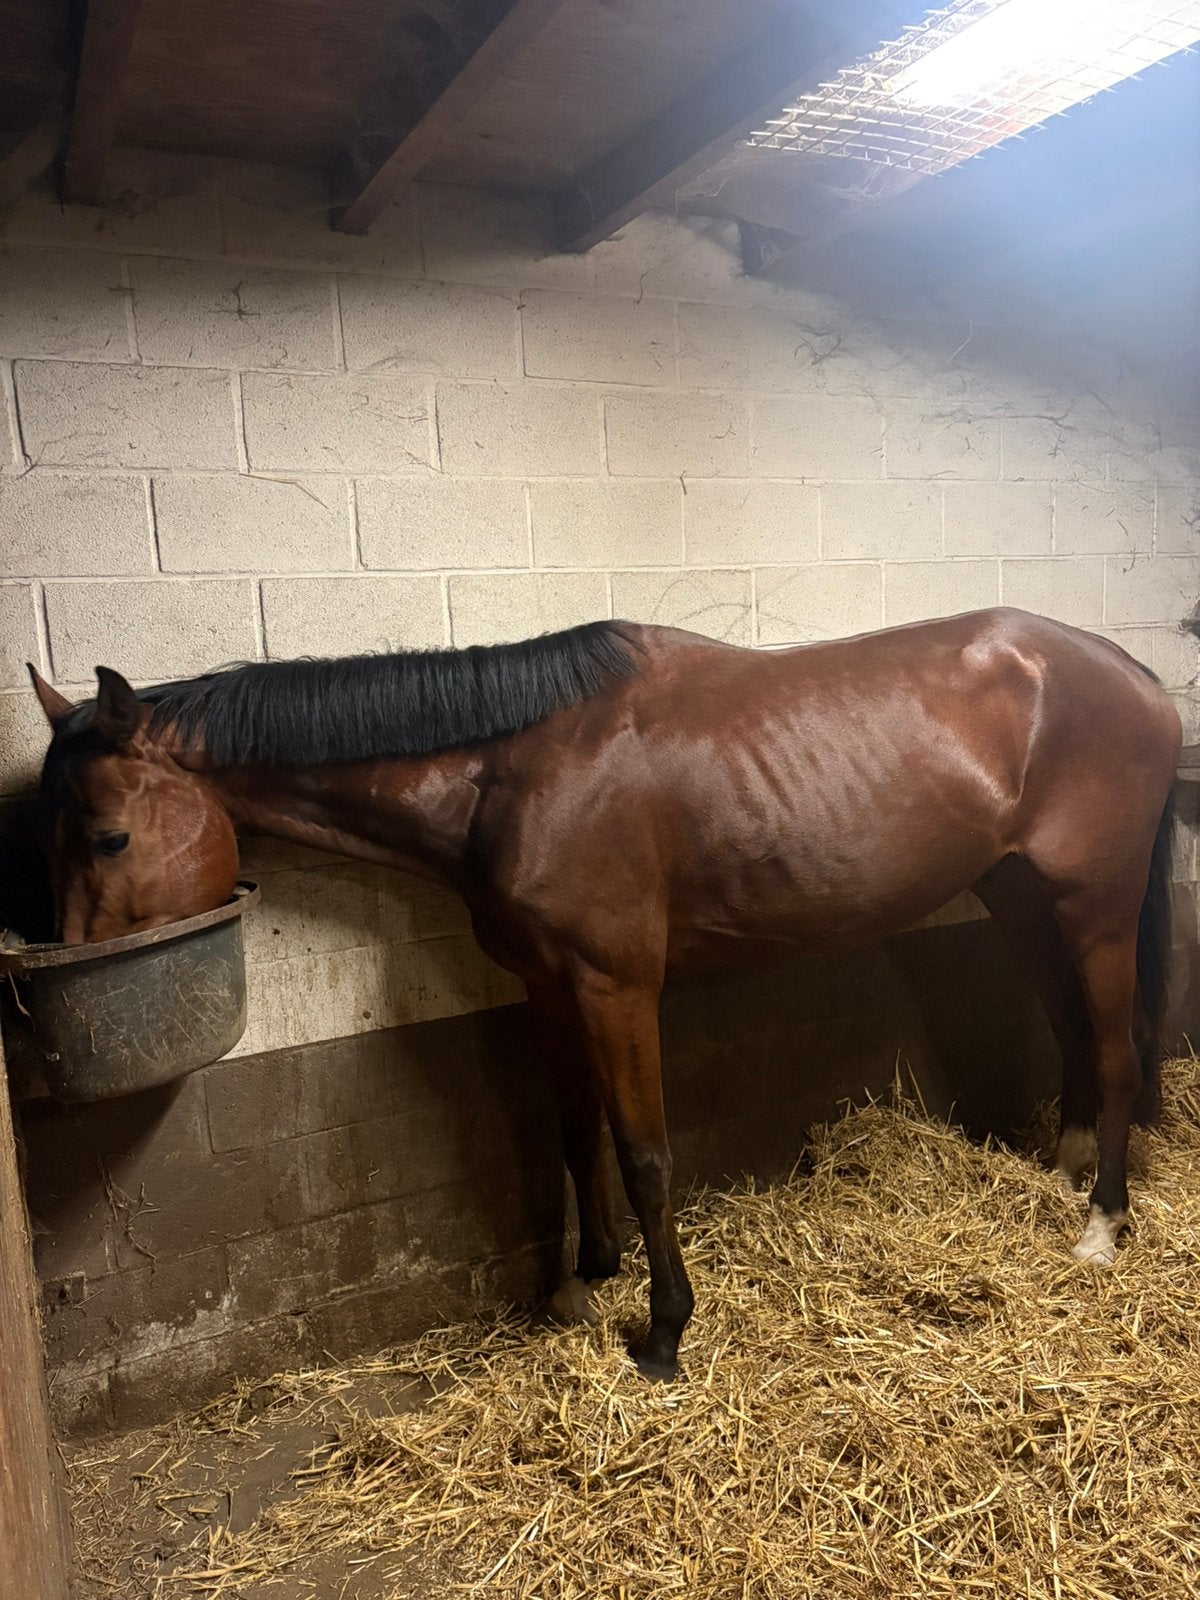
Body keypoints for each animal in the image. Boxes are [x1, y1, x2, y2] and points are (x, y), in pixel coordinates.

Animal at [28, 607, 1181, 1381]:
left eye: (110, 836)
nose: (62, 1006)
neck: (513, 772)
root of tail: (1135, 673)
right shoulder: (548, 989)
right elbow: (575, 1133)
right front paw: (582, 1280)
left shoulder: (617, 988)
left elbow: (644, 1152)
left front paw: (665, 1331)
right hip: (1018, 892)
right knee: (1071, 1031)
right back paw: (1065, 1172)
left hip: (1098, 905)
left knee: (1118, 1047)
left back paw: (1102, 1222)